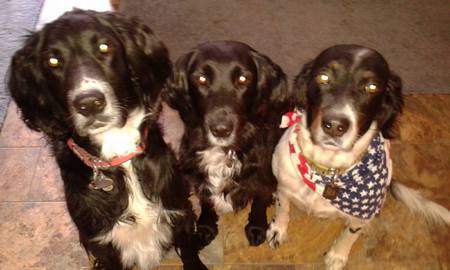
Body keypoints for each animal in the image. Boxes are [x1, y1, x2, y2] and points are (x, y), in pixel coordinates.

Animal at [9, 9, 206, 268]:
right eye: (53, 61)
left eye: (105, 47)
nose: (89, 103)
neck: (118, 150)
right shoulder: (101, 242)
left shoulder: (179, 211)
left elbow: (190, 251)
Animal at [163, 41, 290, 248]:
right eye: (201, 78)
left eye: (243, 79)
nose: (221, 130)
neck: (225, 151)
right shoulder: (197, 174)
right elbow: (207, 201)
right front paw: (206, 226)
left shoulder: (262, 177)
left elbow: (259, 202)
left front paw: (257, 227)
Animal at [268, 44, 450, 270]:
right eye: (323, 77)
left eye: (372, 87)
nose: (334, 126)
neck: (328, 170)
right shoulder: (283, 189)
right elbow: (282, 210)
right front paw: (277, 231)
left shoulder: (361, 216)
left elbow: (349, 235)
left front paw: (337, 256)